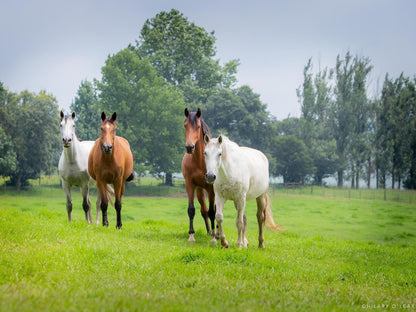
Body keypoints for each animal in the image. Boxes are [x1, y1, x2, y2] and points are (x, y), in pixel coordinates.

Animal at [180, 108, 216, 243]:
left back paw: (216, 233)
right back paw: (209, 231)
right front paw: (191, 235)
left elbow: (212, 212)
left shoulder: (211, 189)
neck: (200, 161)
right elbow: (192, 210)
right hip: (200, 191)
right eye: (185, 125)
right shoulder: (189, 184)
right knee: (204, 210)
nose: (190, 147)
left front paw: (214, 239)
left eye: (198, 126)